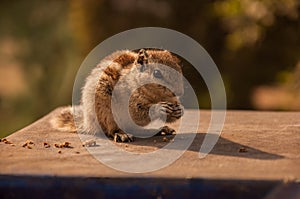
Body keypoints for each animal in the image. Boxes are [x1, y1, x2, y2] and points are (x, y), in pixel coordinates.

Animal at [50, 49, 184, 142]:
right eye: (157, 73)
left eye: (178, 67)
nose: (179, 92)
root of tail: (88, 123)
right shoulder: (128, 100)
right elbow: (137, 113)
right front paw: (159, 108)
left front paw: (179, 110)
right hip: (106, 114)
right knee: (112, 130)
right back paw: (121, 134)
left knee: (136, 129)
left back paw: (160, 130)